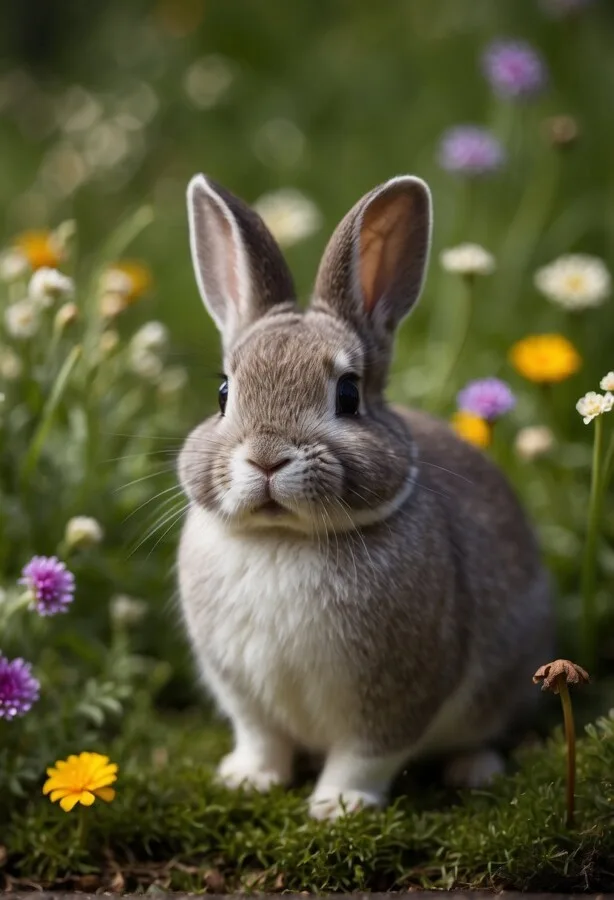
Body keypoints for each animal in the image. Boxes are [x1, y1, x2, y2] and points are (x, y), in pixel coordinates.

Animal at [177, 173, 553, 820]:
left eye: (349, 394)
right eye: (224, 393)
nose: (267, 457)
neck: (283, 539)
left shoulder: (398, 692)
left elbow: (366, 753)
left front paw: (339, 806)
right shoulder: (244, 695)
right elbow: (261, 739)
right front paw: (248, 781)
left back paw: (473, 771)